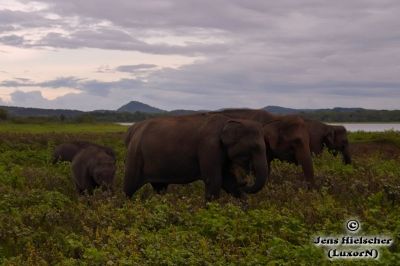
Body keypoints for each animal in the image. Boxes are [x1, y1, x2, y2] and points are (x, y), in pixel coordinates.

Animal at [124, 113, 268, 201]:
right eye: (254, 147)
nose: (245, 181)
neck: (228, 120)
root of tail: (133, 129)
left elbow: (228, 180)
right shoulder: (209, 147)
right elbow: (214, 180)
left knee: (160, 188)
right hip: (135, 155)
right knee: (129, 188)